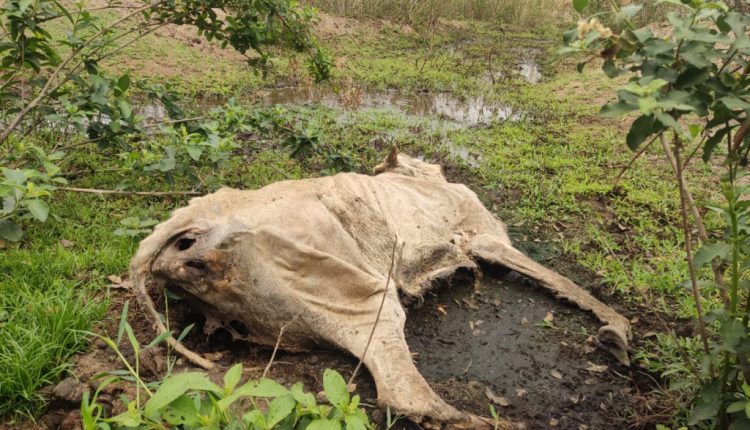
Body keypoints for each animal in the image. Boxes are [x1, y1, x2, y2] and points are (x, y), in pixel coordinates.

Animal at [132, 148, 632, 426]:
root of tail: (175, 232)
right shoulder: (482, 233)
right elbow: (562, 280)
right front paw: (617, 330)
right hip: (365, 297)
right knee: (407, 395)